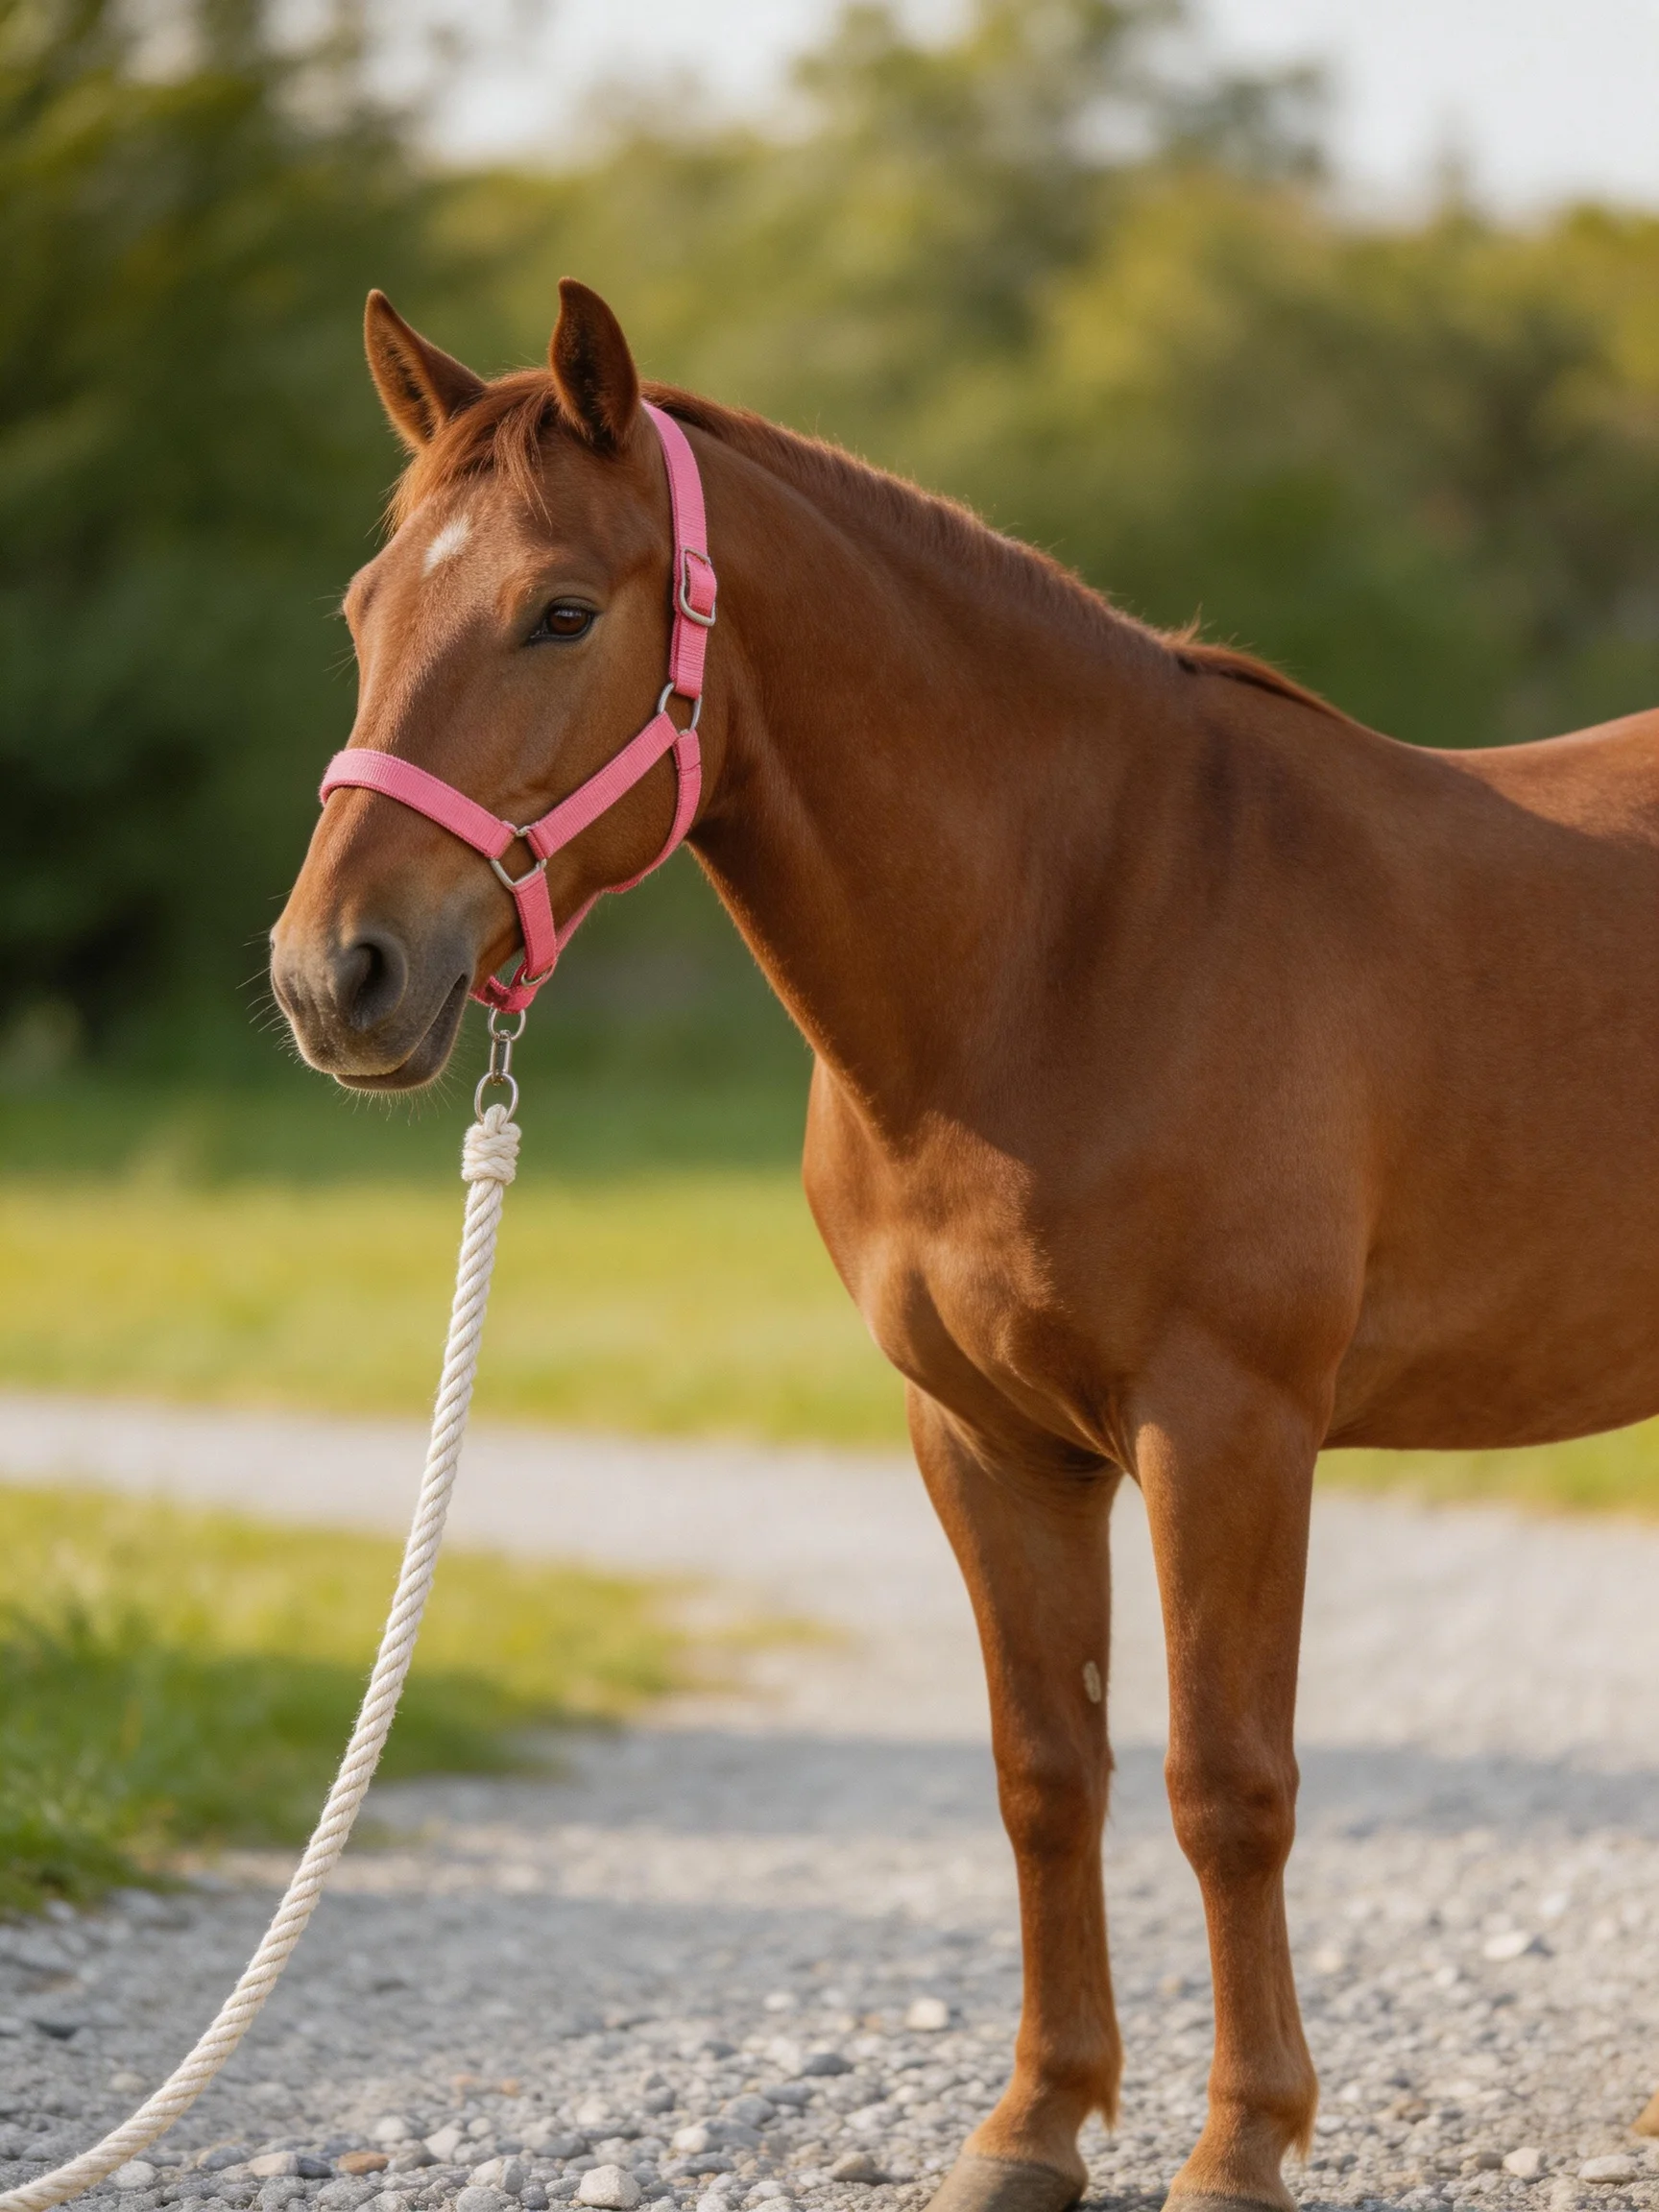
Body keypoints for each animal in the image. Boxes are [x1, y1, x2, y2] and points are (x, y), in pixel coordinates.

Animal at [271, 278, 1659, 2212]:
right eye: (362, 606)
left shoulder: (1227, 1427)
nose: (336, 975)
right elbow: (1043, 1773)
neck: (1082, 933)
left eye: (560, 610)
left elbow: (1225, 1783)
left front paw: (1241, 2142)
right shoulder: (986, 1437)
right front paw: (1032, 2125)